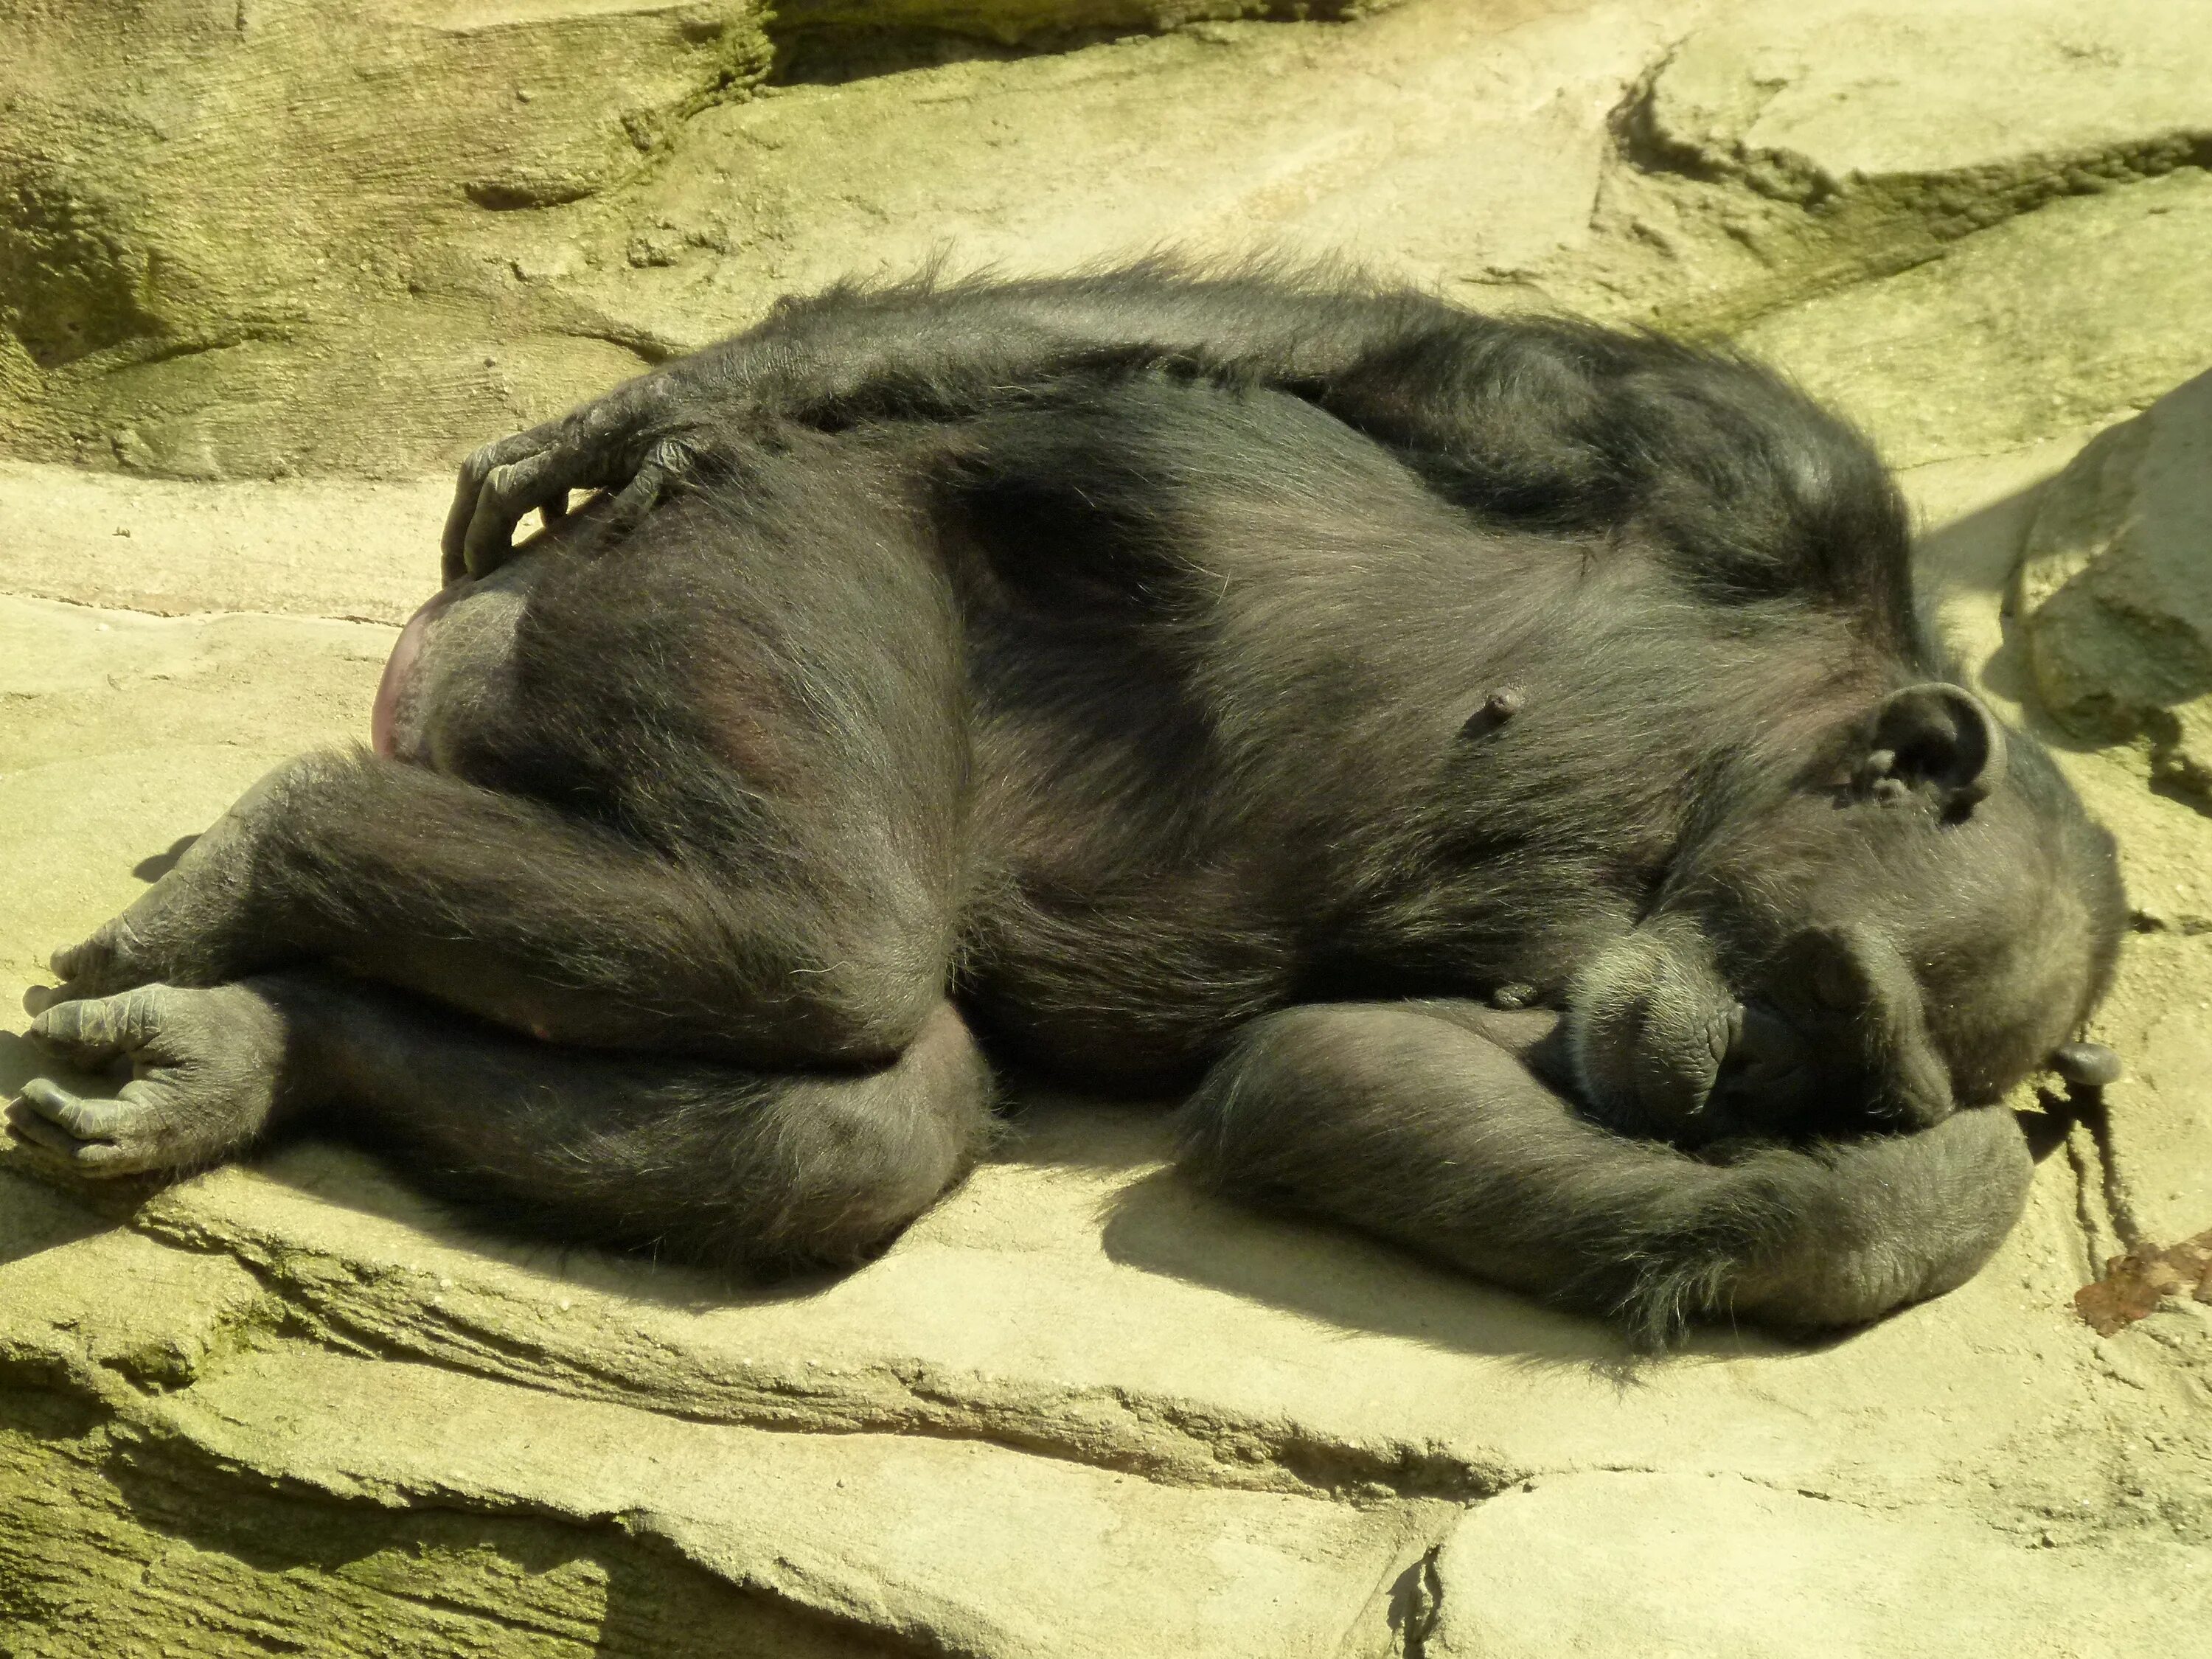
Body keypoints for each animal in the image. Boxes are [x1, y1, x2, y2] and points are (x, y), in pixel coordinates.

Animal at [13, 266, 2124, 1345]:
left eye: (1845, 1071)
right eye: (1823, 995)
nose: (1721, 1078)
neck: (1737, 757)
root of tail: (454, 656)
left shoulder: (1587, 1005)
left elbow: (1353, 1072)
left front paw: (1927, 1190)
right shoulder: (1752, 466)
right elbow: (1357, 360)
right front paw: (647, 404)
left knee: (859, 1116)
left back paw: (240, 1043)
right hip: (750, 555)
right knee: (819, 933)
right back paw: (272, 843)